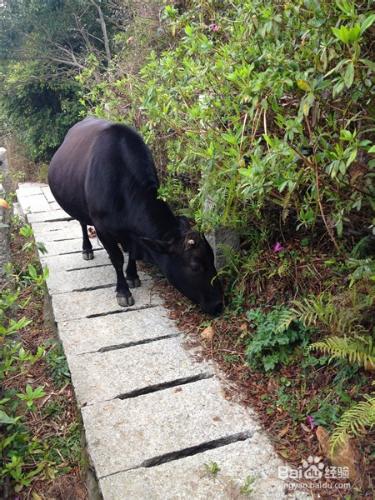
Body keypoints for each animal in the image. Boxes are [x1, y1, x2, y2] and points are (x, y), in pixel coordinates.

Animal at [47, 117, 223, 314]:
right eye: (195, 266)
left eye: (212, 257)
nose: (219, 304)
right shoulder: (102, 229)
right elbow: (117, 258)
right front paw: (123, 291)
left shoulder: (134, 235)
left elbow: (131, 253)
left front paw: (132, 276)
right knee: (82, 224)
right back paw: (87, 249)